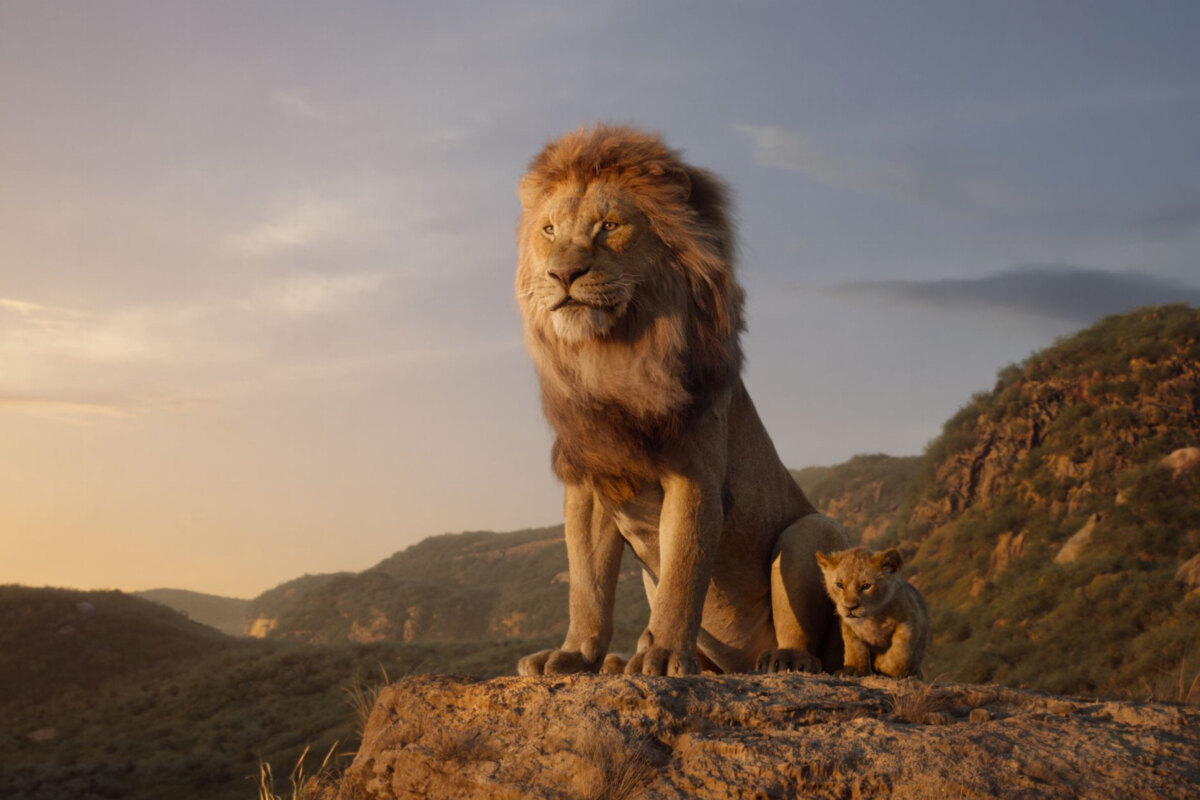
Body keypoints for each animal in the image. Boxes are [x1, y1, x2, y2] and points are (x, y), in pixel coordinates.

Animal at [514, 125, 849, 677]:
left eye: (609, 226)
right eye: (548, 230)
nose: (563, 275)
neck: (613, 357)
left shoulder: (695, 476)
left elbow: (683, 573)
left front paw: (666, 654)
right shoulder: (590, 482)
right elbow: (587, 585)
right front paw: (574, 654)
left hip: (810, 531)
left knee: (811, 642)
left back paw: (782, 659)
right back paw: (620, 662)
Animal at [815, 547, 930, 679]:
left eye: (866, 586)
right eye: (839, 585)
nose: (850, 607)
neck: (872, 618)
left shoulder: (910, 620)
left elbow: (900, 651)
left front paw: (882, 664)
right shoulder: (848, 627)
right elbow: (855, 647)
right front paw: (853, 669)